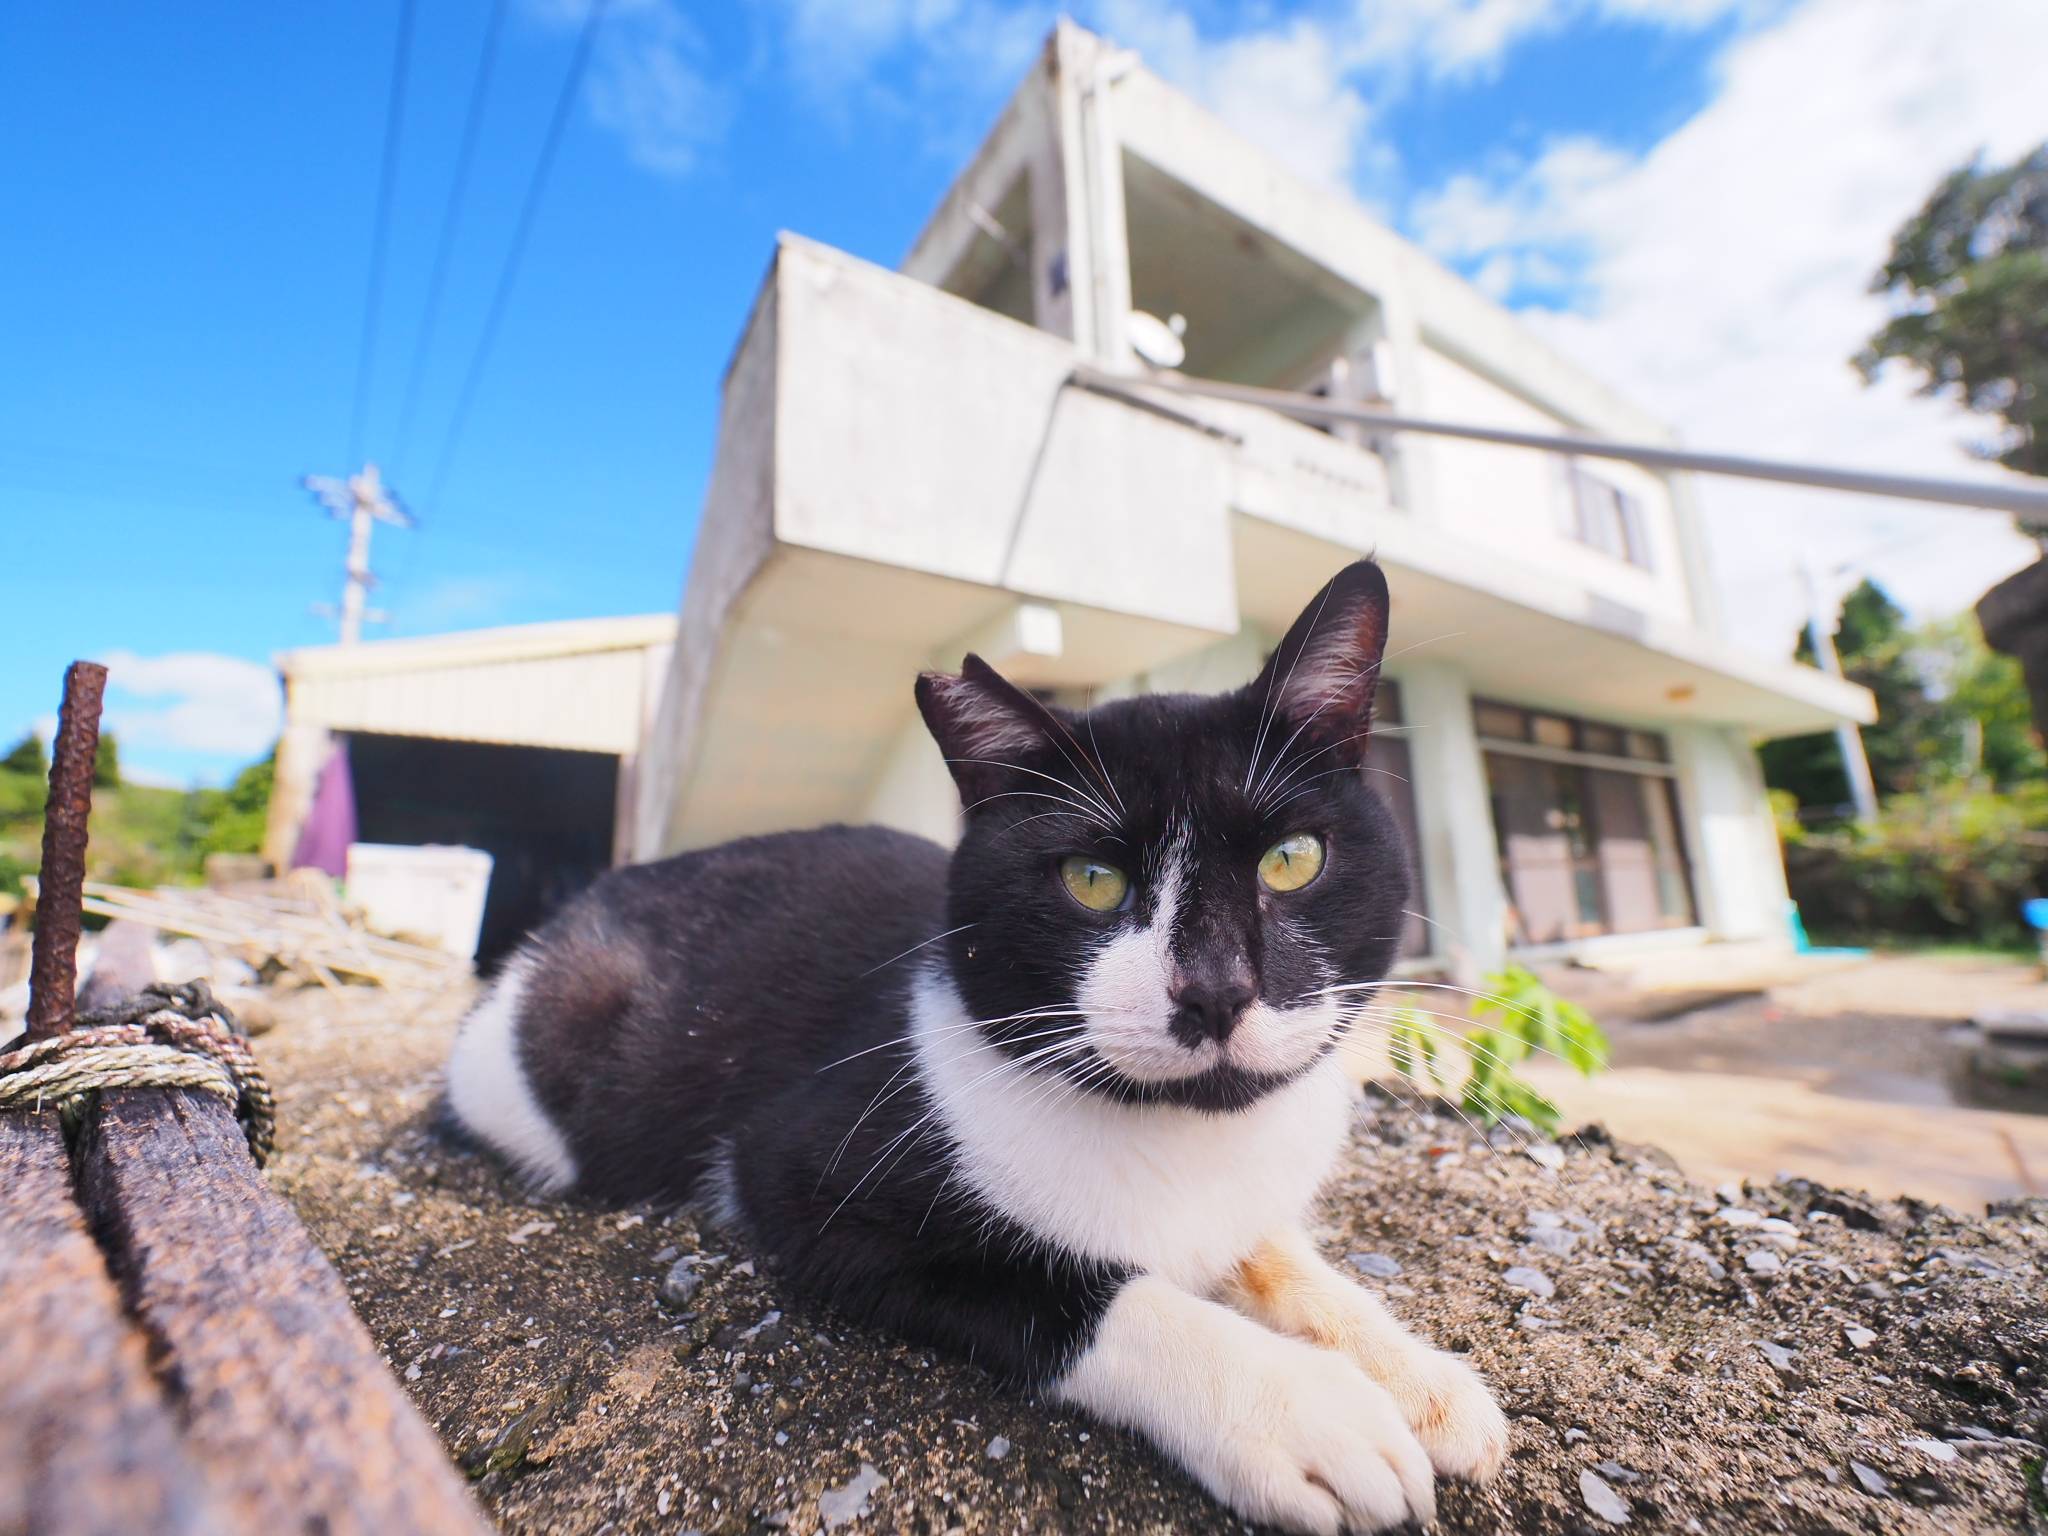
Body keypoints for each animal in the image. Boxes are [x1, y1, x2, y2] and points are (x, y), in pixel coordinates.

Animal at [444, 559, 1508, 1533]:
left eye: (1292, 861)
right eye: (1091, 881)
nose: (1215, 989)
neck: (1180, 1133)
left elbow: (1276, 1255)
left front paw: (1413, 1374)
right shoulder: (796, 1171)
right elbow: (1082, 1291)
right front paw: (1301, 1408)